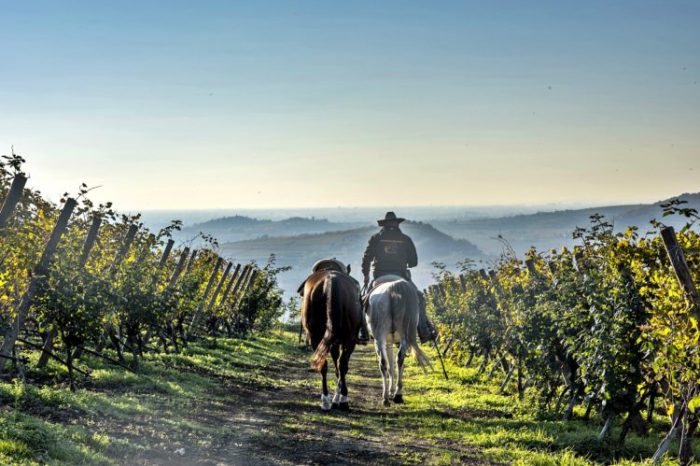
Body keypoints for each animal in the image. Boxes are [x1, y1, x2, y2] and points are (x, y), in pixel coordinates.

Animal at [302, 270, 364, 412]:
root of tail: (330, 280)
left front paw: (335, 398)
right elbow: (340, 367)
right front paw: (339, 397)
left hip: (316, 337)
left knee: (324, 365)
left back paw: (325, 400)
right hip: (349, 338)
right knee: (342, 365)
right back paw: (343, 400)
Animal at [366, 274, 432, 406]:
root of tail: (392, 287)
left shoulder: (388, 342)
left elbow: (390, 366)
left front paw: (390, 391)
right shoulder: (390, 342)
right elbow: (392, 364)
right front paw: (393, 391)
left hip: (379, 339)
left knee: (384, 363)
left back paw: (386, 397)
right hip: (402, 338)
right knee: (399, 359)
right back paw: (397, 395)